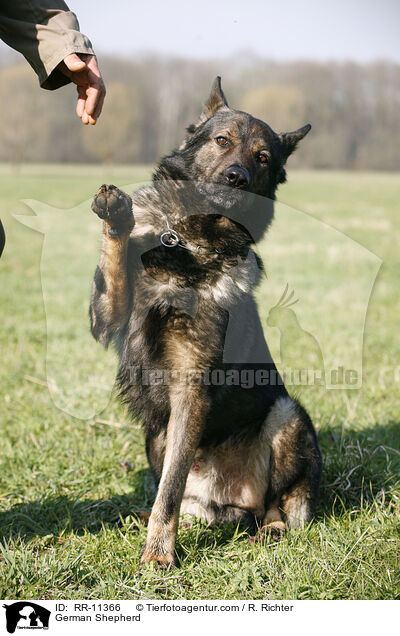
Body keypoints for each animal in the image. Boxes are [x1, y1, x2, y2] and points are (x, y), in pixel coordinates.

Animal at [89, 77, 320, 564]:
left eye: (263, 157)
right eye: (222, 141)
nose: (237, 178)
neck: (184, 240)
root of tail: (227, 504)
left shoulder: (190, 389)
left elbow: (170, 490)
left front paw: (159, 554)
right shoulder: (105, 316)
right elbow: (115, 267)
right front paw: (117, 217)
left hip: (287, 416)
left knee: (279, 508)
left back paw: (269, 530)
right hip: (154, 434)